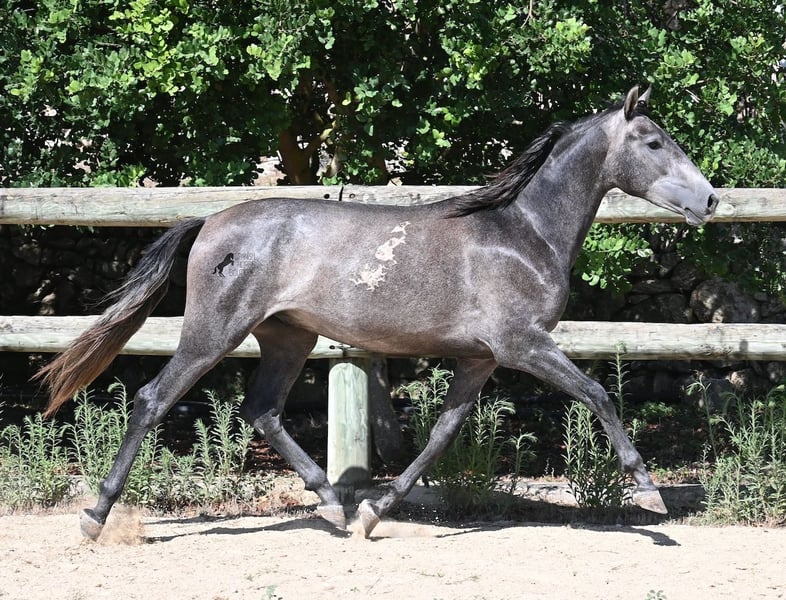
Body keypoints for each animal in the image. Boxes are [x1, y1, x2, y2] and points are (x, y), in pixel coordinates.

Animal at [38, 86, 718, 540]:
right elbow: (598, 394)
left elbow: (440, 435)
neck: (522, 234)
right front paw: (650, 496)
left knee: (263, 410)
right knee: (153, 399)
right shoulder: (523, 345)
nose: (711, 199)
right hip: (215, 333)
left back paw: (332, 504)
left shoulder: (480, 360)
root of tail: (208, 222)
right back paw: (94, 517)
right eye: (654, 142)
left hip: (288, 338)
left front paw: (373, 512)